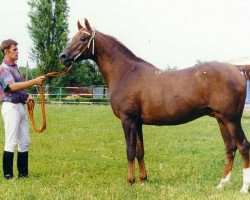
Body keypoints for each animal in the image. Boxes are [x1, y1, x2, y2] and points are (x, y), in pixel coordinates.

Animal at [60, 18, 250, 192]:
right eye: (74, 36)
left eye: (83, 38)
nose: (63, 57)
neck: (127, 73)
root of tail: (237, 69)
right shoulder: (137, 122)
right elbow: (140, 150)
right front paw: (143, 180)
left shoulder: (128, 119)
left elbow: (130, 150)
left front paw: (129, 182)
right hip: (221, 120)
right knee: (230, 148)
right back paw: (222, 184)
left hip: (232, 120)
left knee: (243, 146)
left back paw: (243, 188)